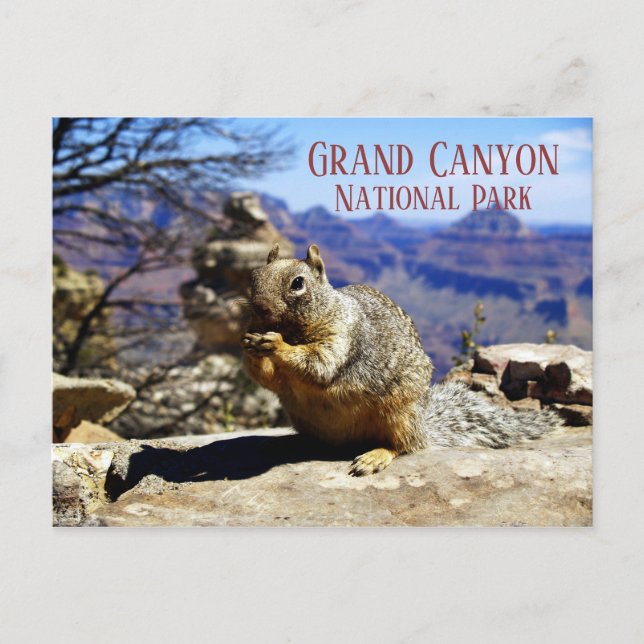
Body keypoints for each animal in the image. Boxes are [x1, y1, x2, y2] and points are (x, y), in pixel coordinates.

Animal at [241, 243, 563, 476]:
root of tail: (424, 428)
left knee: (404, 446)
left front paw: (275, 343)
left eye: (298, 283)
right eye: (253, 278)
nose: (259, 308)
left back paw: (374, 457)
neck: (295, 329)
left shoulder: (343, 335)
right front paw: (249, 344)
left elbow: (320, 364)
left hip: (400, 414)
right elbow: (270, 379)